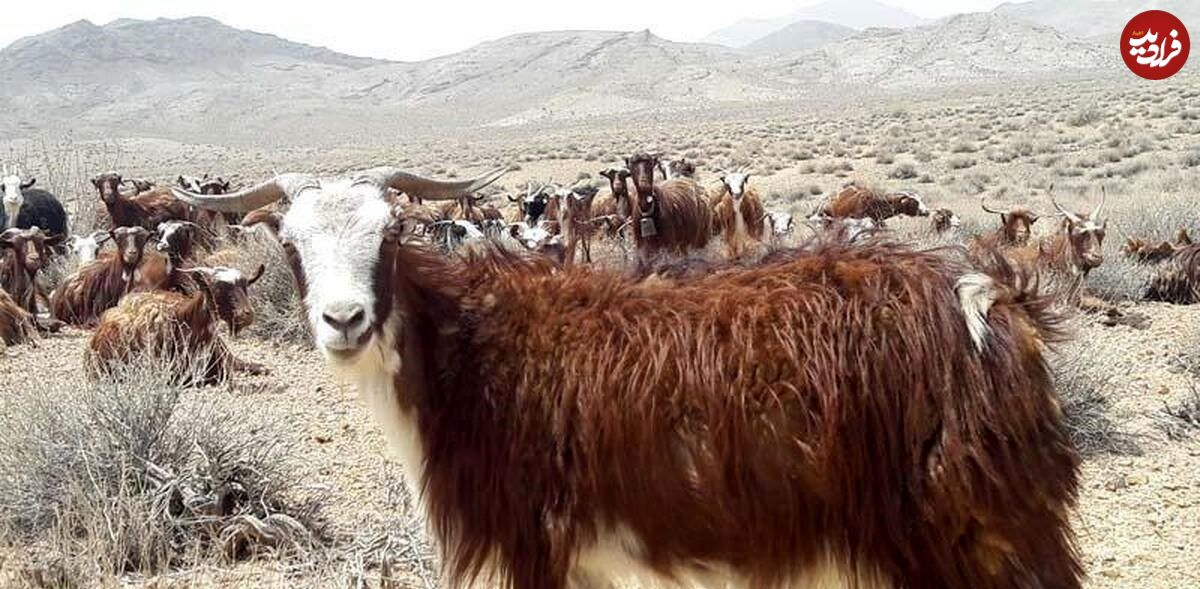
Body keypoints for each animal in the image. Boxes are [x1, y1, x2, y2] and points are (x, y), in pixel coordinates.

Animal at [177, 163, 1089, 589]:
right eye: (290, 242)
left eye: (390, 233)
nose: (343, 320)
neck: (468, 347)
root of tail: (992, 300)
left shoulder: (529, 544)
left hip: (974, 528)